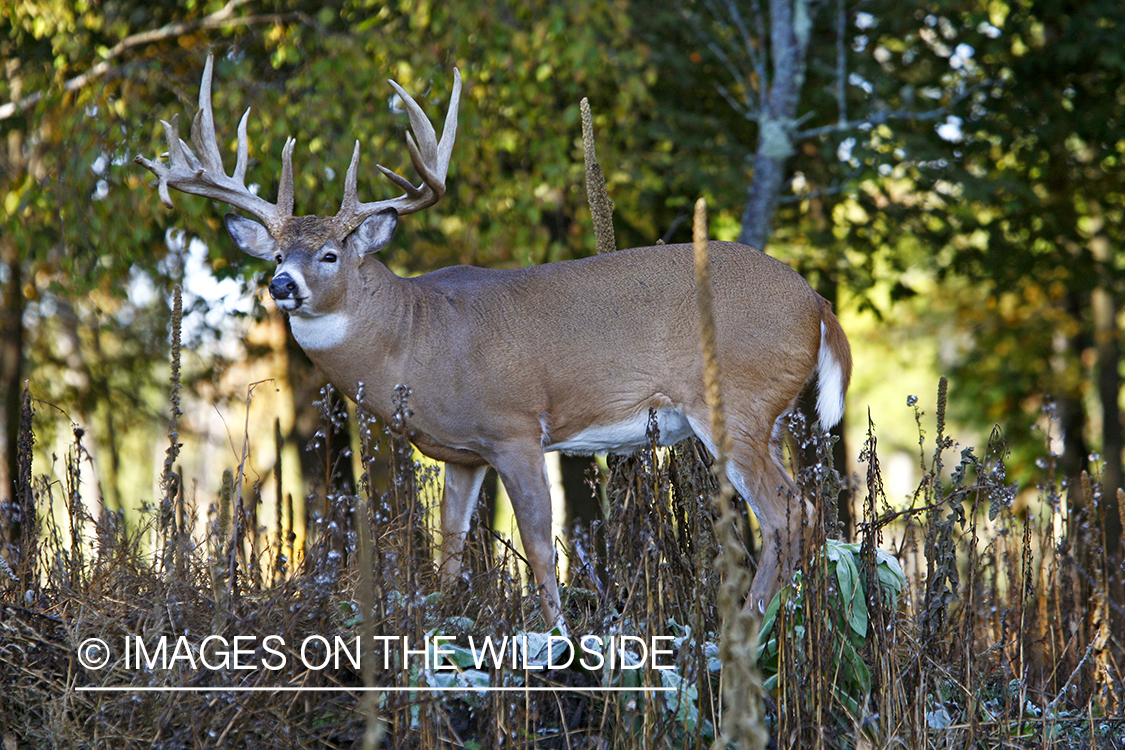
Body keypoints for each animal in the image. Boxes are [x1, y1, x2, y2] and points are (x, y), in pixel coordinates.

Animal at [136, 54, 846, 629]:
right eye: (280, 251)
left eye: (331, 254)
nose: (281, 283)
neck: (417, 335)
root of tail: (816, 302)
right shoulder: (463, 453)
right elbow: (450, 545)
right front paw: (446, 619)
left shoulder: (516, 427)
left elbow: (538, 543)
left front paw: (557, 634)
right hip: (771, 414)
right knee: (802, 512)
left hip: (736, 402)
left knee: (791, 512)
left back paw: (749, 627)